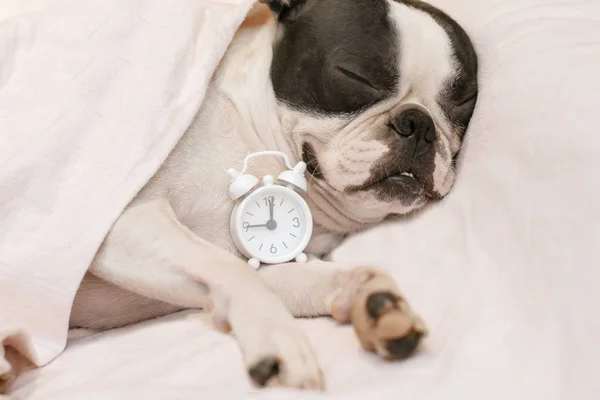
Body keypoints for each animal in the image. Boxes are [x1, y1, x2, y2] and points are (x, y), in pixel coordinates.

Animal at [70, 0, 480, 390]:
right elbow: (229, 269)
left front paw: (369, 300)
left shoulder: (258, 261)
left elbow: (292, 280)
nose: (420, 124)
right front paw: (279, 340)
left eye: (464, 105)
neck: (260, 155)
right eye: (355, 75)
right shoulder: (122, 221)